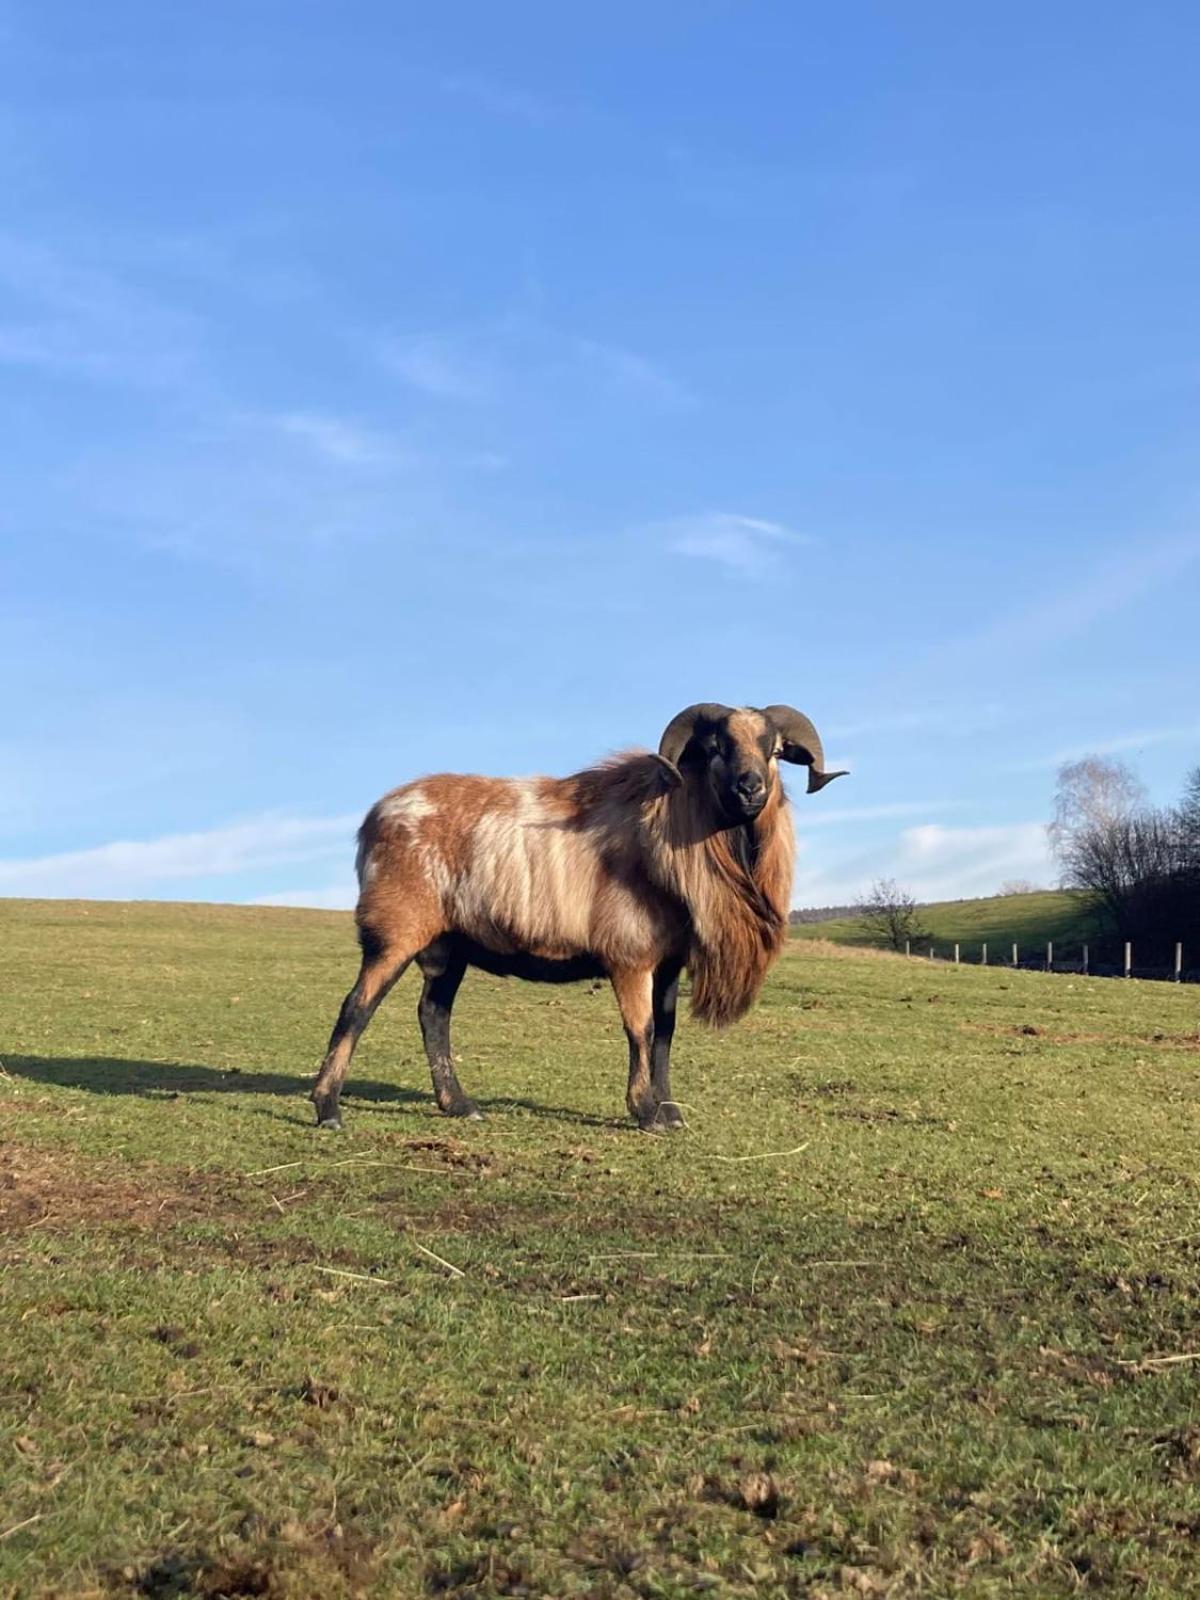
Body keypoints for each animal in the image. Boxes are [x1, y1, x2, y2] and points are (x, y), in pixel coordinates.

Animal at [315, 707, 851, 1132]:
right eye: (718, 747)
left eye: (774, 750)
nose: (750, 789)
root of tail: (373, 819)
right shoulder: (631, 958)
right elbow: (642, 1031)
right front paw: (646, 1114)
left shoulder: (669, 962)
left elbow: (666, 1032)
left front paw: (670, 1111)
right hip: (396, 931)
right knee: (356, 1008)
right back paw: (327, 1109)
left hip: (449, 947)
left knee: (433, 1015)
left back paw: (459, 1105)